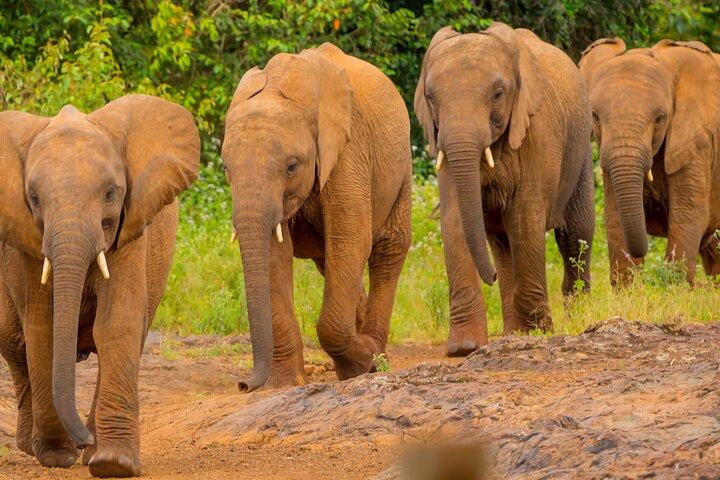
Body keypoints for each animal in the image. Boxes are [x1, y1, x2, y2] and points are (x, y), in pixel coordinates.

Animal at [0, 94, 199, 477]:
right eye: (33, 198)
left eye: (110, 193)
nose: (81, 442)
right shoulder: (26, 242)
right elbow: (42, 327)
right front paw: (56, 456)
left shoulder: (130, 224)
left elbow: (117, 321)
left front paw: (113, 463)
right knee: (14, 342)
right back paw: (34, 447)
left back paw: (93, 451)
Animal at [223, 43, 412, 391]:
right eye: (225, 168)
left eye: (291, 166)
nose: (243, 385)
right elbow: (275, 254)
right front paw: (286, 382)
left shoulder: (348, 150)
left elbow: (351, 239)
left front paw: (362, 363)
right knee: (331, 262)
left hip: (400, 165)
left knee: (387, 250)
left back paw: (377, 354)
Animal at [414, 22, 595, 354]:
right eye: (430, 97)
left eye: (498, 94)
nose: (492, 278)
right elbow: (455, 221)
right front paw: (464, 347)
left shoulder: (538, 131)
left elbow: (524, 219)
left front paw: (539, 333)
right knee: (502, 243)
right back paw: (513, 332)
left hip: (581, 150)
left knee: (576, 235)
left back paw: (576, 318)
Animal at [579, 38, 720, 284]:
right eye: (594, 116)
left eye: (660, 118)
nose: (642, 250)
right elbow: (615, 217)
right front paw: (631, 289)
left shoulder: (697, 143)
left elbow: (688, 215)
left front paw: (675, 287)